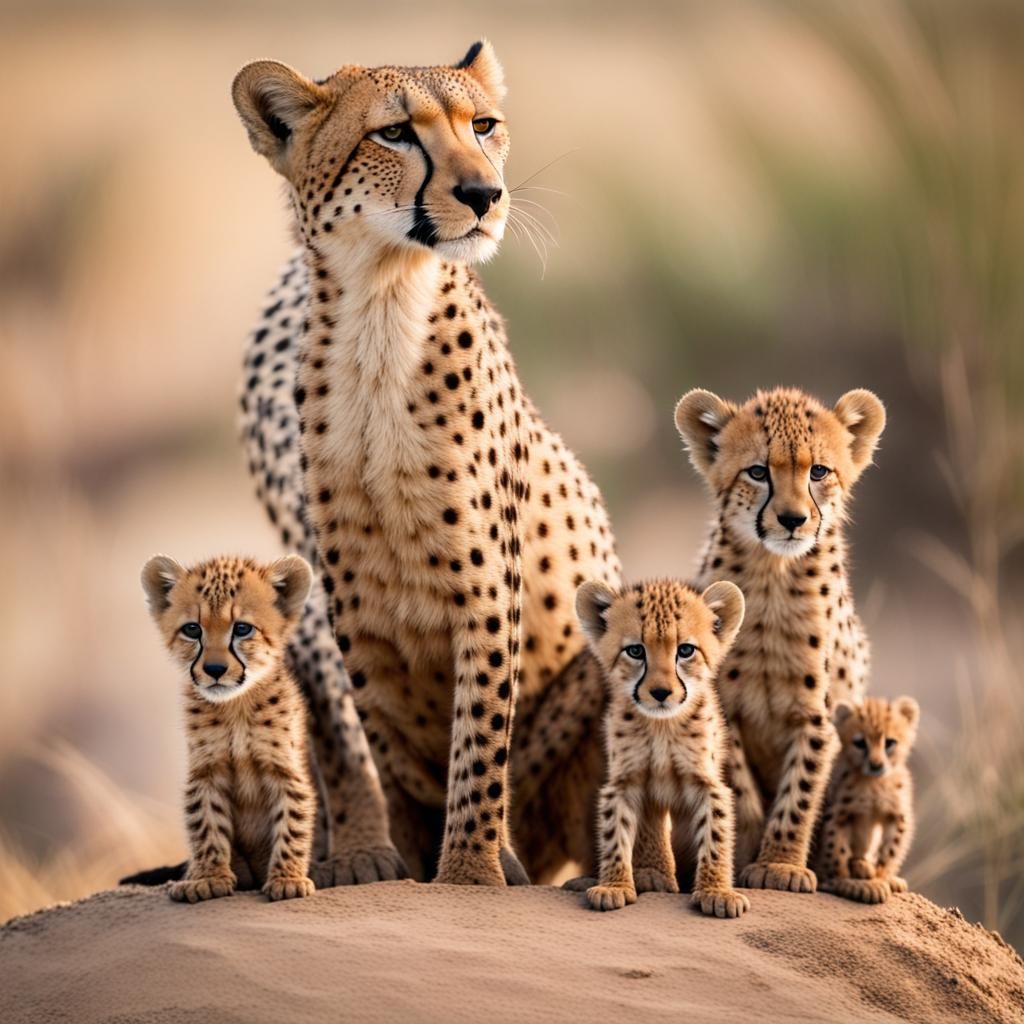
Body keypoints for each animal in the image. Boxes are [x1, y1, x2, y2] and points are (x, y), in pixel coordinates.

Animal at [140, 554, 317, 902]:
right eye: (192, 629)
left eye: (243, 629)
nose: (215, 669)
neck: (236, 706)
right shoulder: (207, 770)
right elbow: (205, 824)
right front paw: (208, 878)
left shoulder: (285, 769)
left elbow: (293, 820)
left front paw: (287, 878)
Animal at [231, 40, 620, 886]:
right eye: (395, 134)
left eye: (484, 125)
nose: (483, 193)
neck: (381, 311)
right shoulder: (349, 610)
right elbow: (375, 742)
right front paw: (383, 859)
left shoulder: (488, 590)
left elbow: (478, 738)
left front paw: (471, 870)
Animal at [567, 578, 750, 919]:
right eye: (636, 651)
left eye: (686, 650)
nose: (661, 692)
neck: (662, 725)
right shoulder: (623, 782)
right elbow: (615, 835)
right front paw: (614, 886)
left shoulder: (708, 783)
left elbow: (715, 836)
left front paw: (717, 892)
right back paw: (650, 875)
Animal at [674, 385, 886, 893]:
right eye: (757, 472)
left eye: (819, 471)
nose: (792, 519)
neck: (773, 576)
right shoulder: (723, 706)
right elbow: (741, 788)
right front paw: (744, 854)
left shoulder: (818, 716)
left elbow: (800, 792)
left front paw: (781, 865)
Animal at [816, 695, 918, 904]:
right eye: (860, 743)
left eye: (889, 742)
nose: (875, 765)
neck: (874, 782)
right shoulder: (839, 814)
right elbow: (836, 848)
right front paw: (844, 881)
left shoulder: (897, 815)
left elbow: (890, 850)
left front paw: (882, 877)